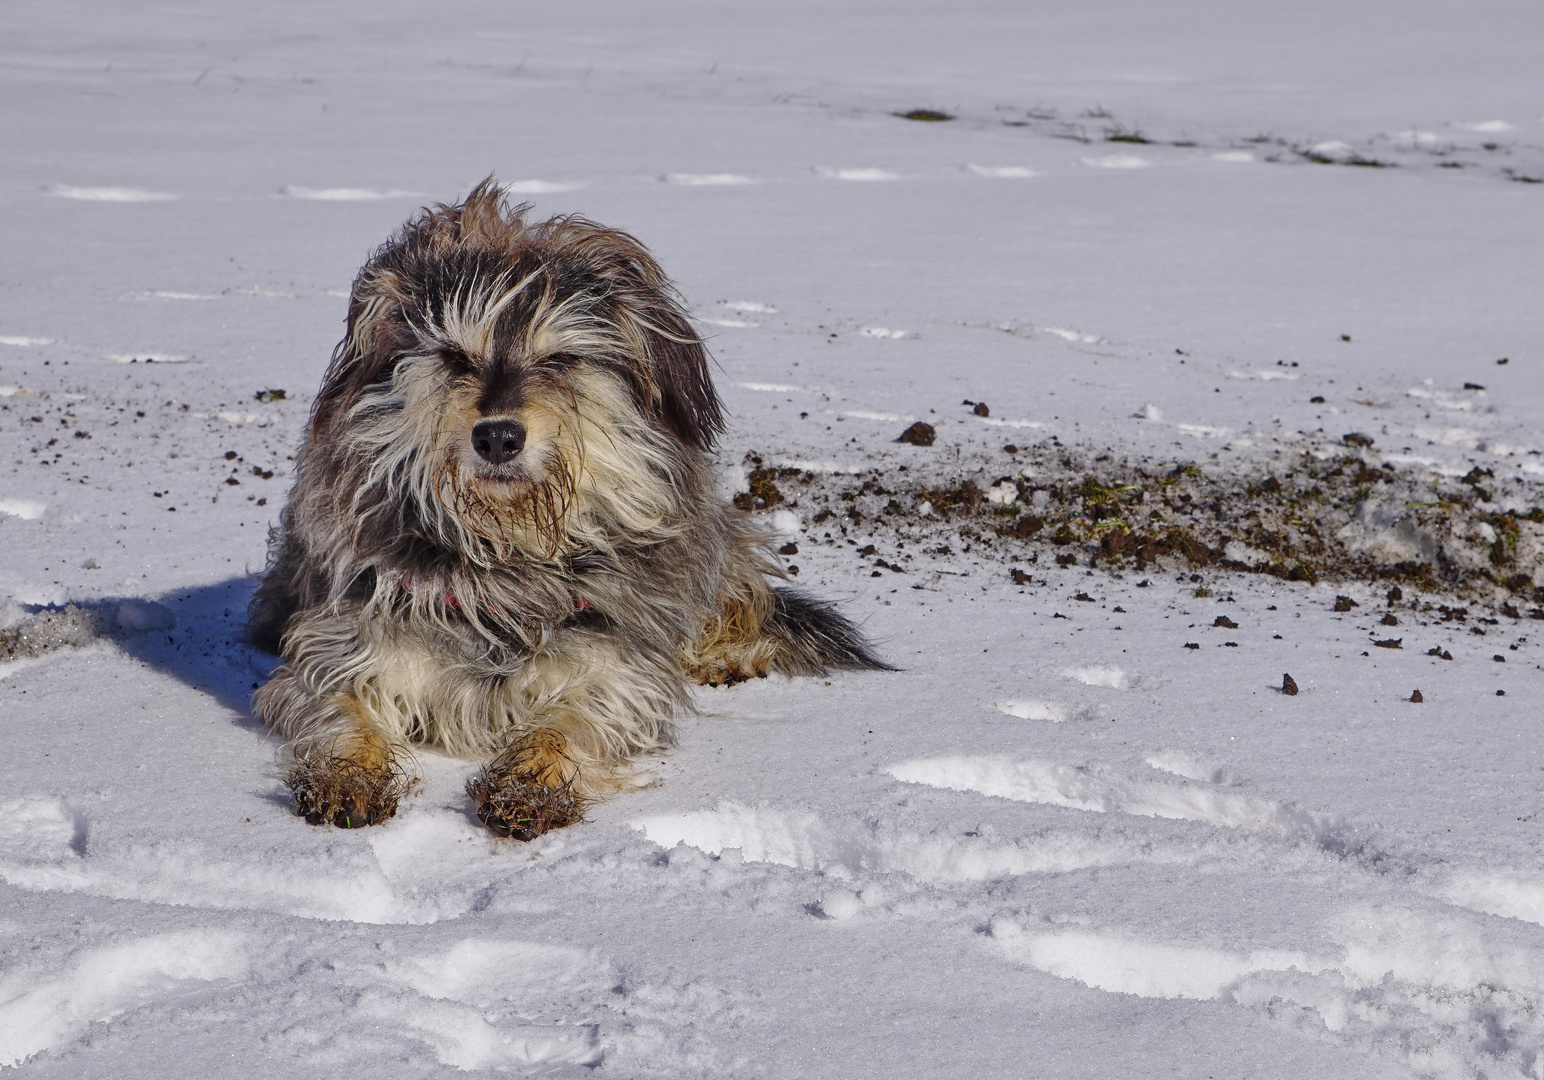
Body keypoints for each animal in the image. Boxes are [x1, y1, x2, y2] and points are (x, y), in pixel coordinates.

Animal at [247, 179, 889, 834]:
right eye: (453, 357)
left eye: (560, 359)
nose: (498, 437)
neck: (508, 558)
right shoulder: (347, 640)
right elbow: (341, 709)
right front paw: (347, 774)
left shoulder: (615, 667)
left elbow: (574, 720)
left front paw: (531, 781)